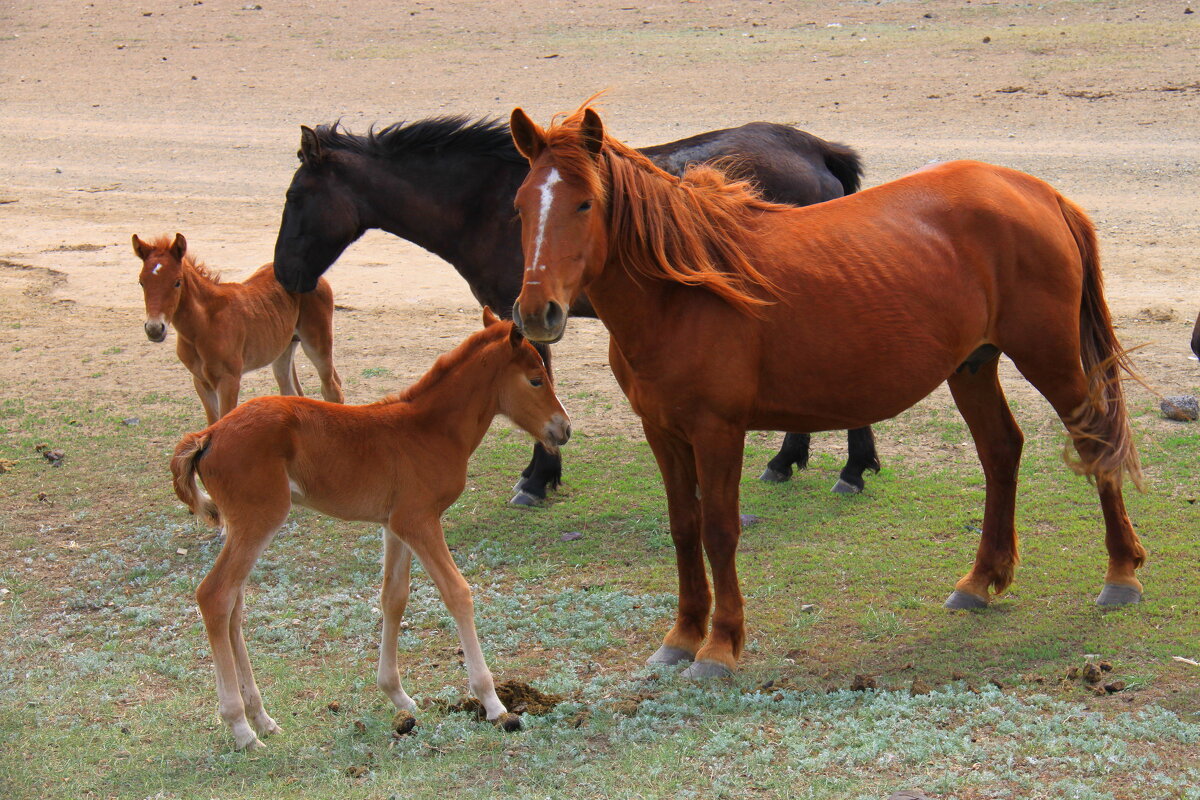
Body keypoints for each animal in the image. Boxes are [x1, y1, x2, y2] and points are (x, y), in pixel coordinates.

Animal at [134, 231, 345, 422]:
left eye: (177, 282)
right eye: (141, 282)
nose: (154, 329)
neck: (203, 326)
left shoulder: (229, 380)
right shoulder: (200, 381)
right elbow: (212, 423)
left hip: (317, 343)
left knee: (332, 391)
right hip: (283, 350)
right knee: (290, 392)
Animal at [169, 309, 571, 753]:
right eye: (535, 379)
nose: (564, 429)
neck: (429, 429)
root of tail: (208, 435)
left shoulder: (395, 525)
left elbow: (393, 598)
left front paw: (399, 695)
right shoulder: (420, 521)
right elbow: (458, 593)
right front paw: (494, 703)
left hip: (242, 527)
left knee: (234, 607)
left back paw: (262, 719)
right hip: (259, 521)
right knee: (216, 596)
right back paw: (241, 728)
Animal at [272, 115, 883, 503]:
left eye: (296, 198)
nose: (282, 274)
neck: (489, 204)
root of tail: (814, 149)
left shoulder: (528, 316)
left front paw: (537, 479)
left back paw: (852, 468)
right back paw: (789, 460)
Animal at [504, 103, 1142, 681]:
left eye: (585, 203)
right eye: (520, 206)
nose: (537, 313)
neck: (682, 292)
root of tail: (1037, 191)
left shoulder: (717, 431)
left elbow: (719, 529)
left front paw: (719, 645)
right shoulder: (662, 430)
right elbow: (683, 527)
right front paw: (682, 637)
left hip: (1049, 359)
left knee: (1094, 442)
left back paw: (1121, 574)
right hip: (973, 367)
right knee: (1001, 451)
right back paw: (981, 580)